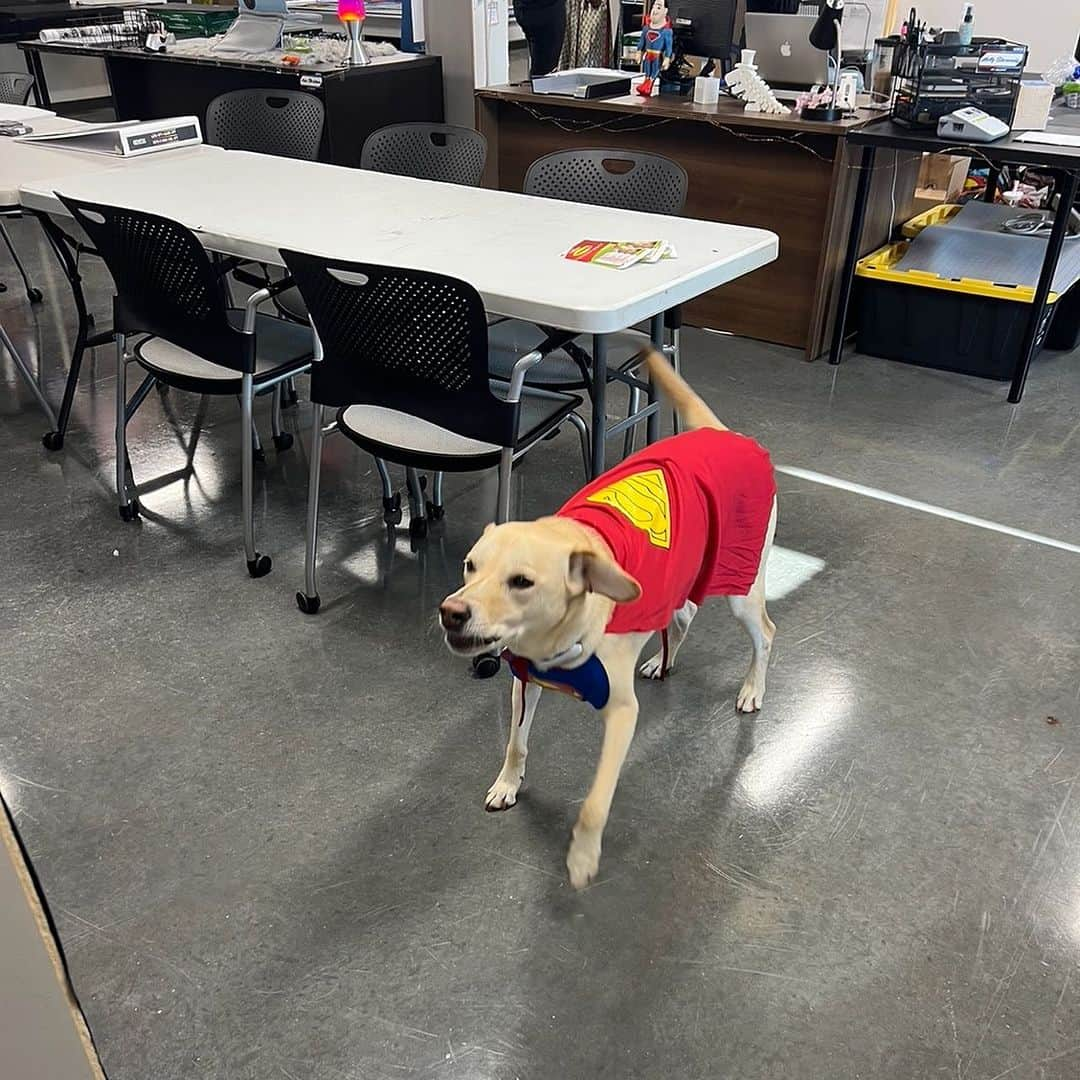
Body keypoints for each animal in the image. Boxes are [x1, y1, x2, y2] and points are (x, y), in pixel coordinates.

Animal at [438, 349, 777, 889]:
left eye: (521, 581)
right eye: (470, 565)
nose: (451, 612)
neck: (559, 640)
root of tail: (719, 433)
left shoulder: (621, 713)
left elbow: (596, 802)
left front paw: (581, 857)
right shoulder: (523, 682)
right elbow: (516, 743)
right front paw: (508, 783)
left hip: (741, 588)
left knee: (764, 634)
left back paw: (752, 689)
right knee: (682, 616)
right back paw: (663, 661)